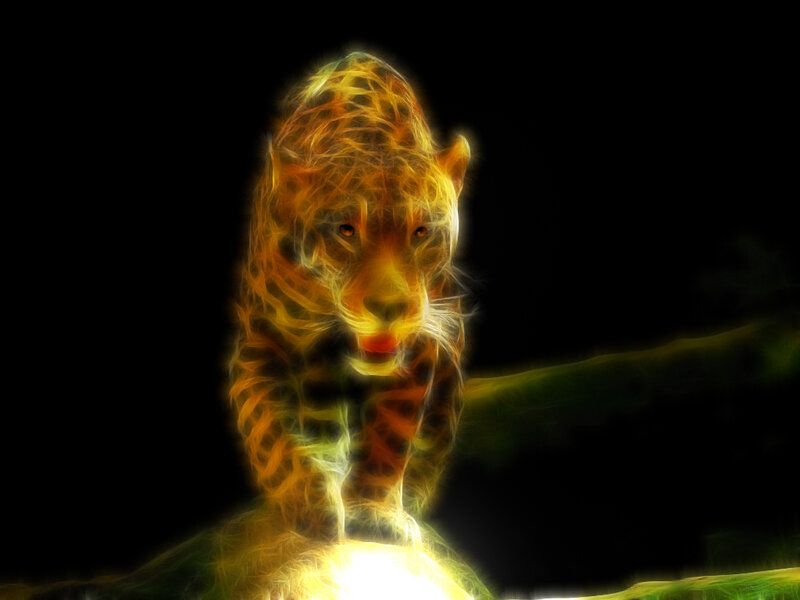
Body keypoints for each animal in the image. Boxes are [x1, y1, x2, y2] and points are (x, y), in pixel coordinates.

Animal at [229, 51, 471, 544]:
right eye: (345, 230)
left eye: (422, 231)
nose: (389, 310)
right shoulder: (259, 344)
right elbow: (267, 431)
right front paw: (308, 505)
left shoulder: (419, 347)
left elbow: (390, 435)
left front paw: (375, 511)